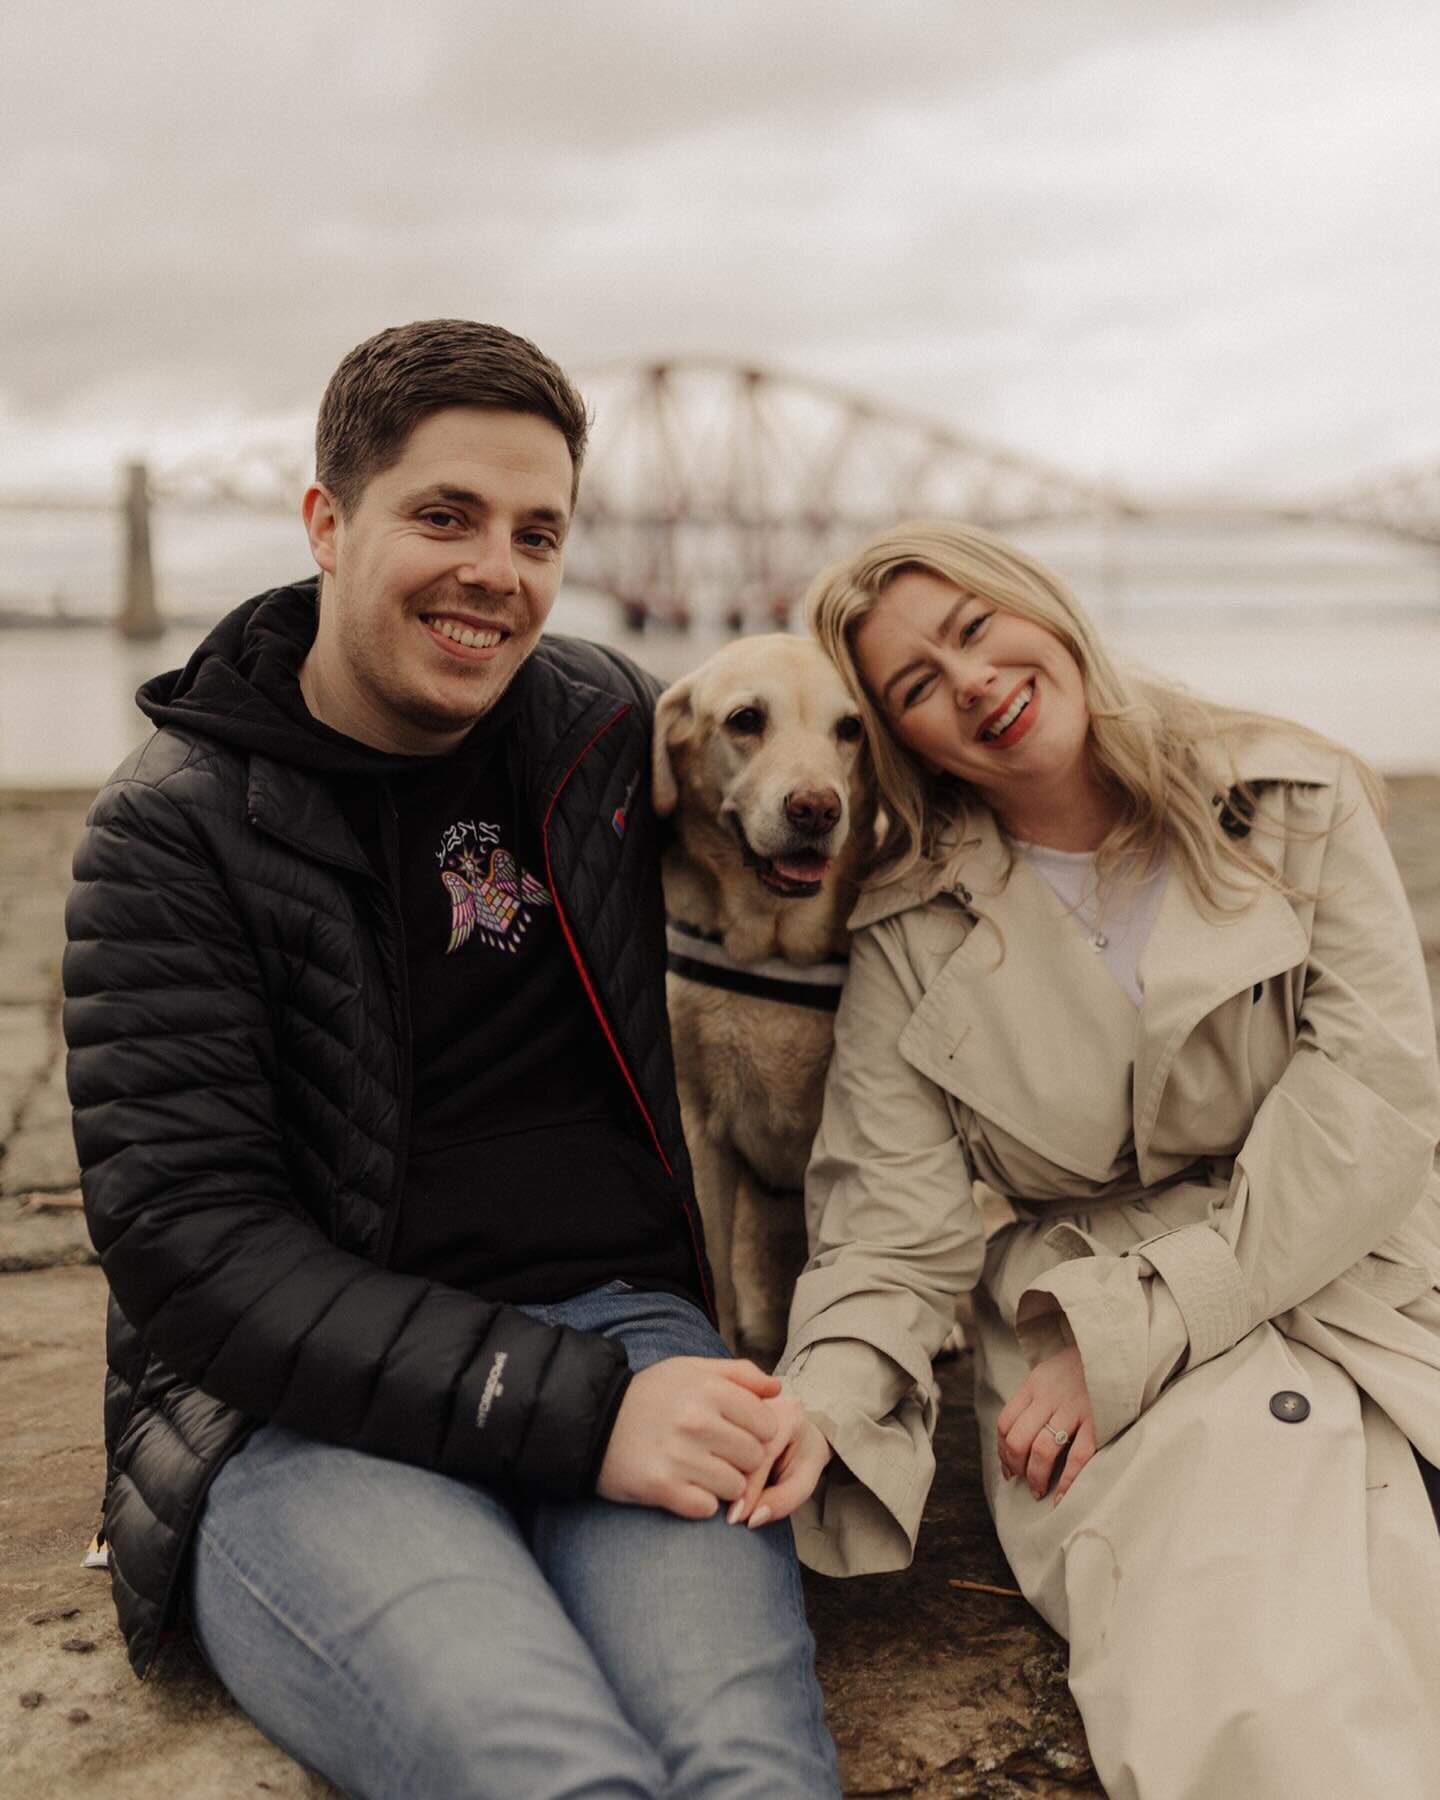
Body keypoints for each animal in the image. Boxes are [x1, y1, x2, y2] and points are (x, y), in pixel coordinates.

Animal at [648, 640, 867, 1353]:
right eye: (746, 720)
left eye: (849, 729)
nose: (817, 808)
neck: (774, 943)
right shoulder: (695, 1125)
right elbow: (713, 1270)